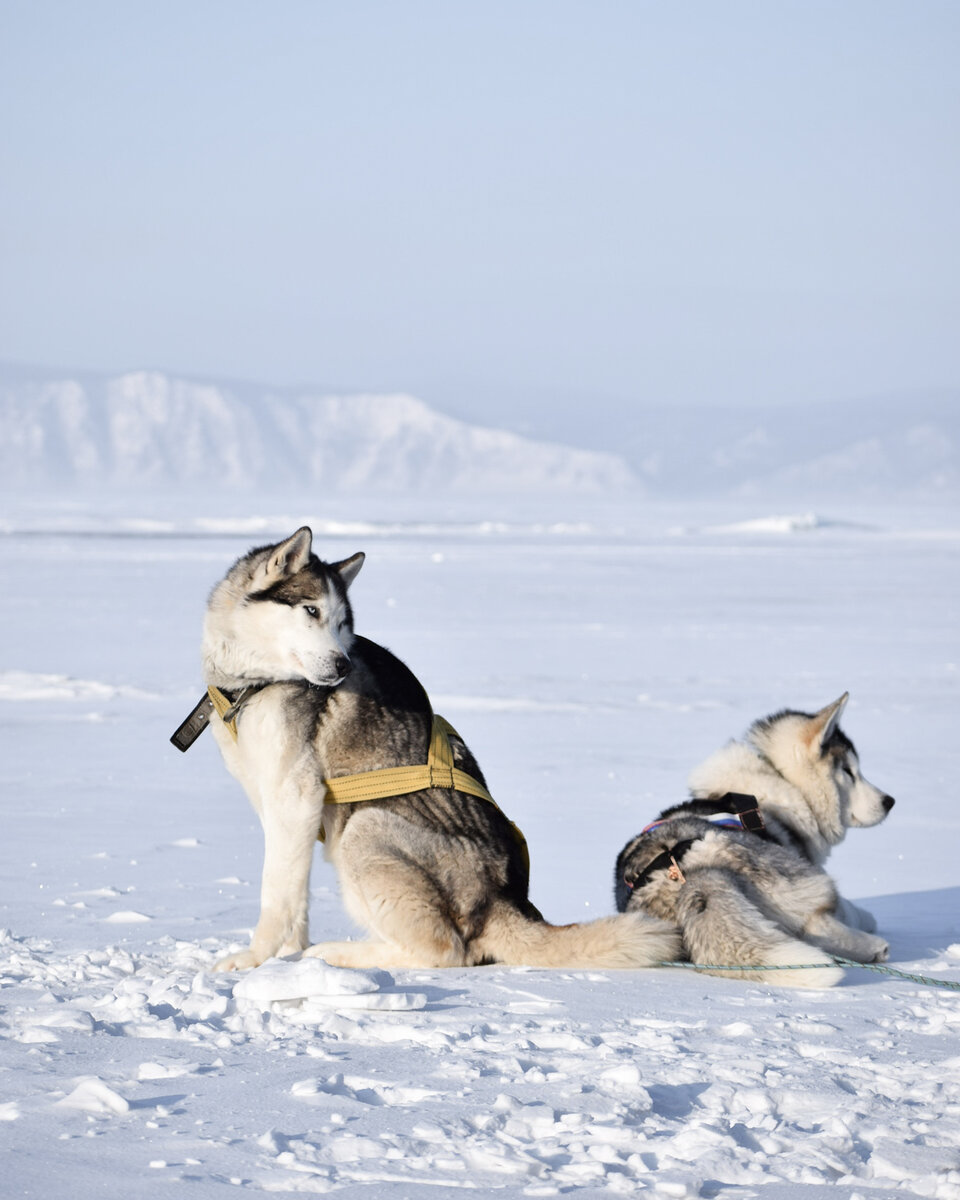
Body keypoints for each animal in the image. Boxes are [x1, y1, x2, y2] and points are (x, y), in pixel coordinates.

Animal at [187, 528, 676, 974]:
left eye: (343, 624)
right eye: (312, 610)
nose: (343, 664)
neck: (252, 682)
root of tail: (500, 899)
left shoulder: (295, 792)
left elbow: (276, 894)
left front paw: (255, 959)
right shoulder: (278, 801)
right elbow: (293, 889)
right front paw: (285, 957)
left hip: (365, 827)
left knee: (445, 950)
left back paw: (339, 954)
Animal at [614, 700, 892, 988]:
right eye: (849, 772)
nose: (889, 801)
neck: (779, 778)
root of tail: (690, 868)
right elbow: (849, 910)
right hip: (800, 876)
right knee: (816, 927)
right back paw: (875, 948)